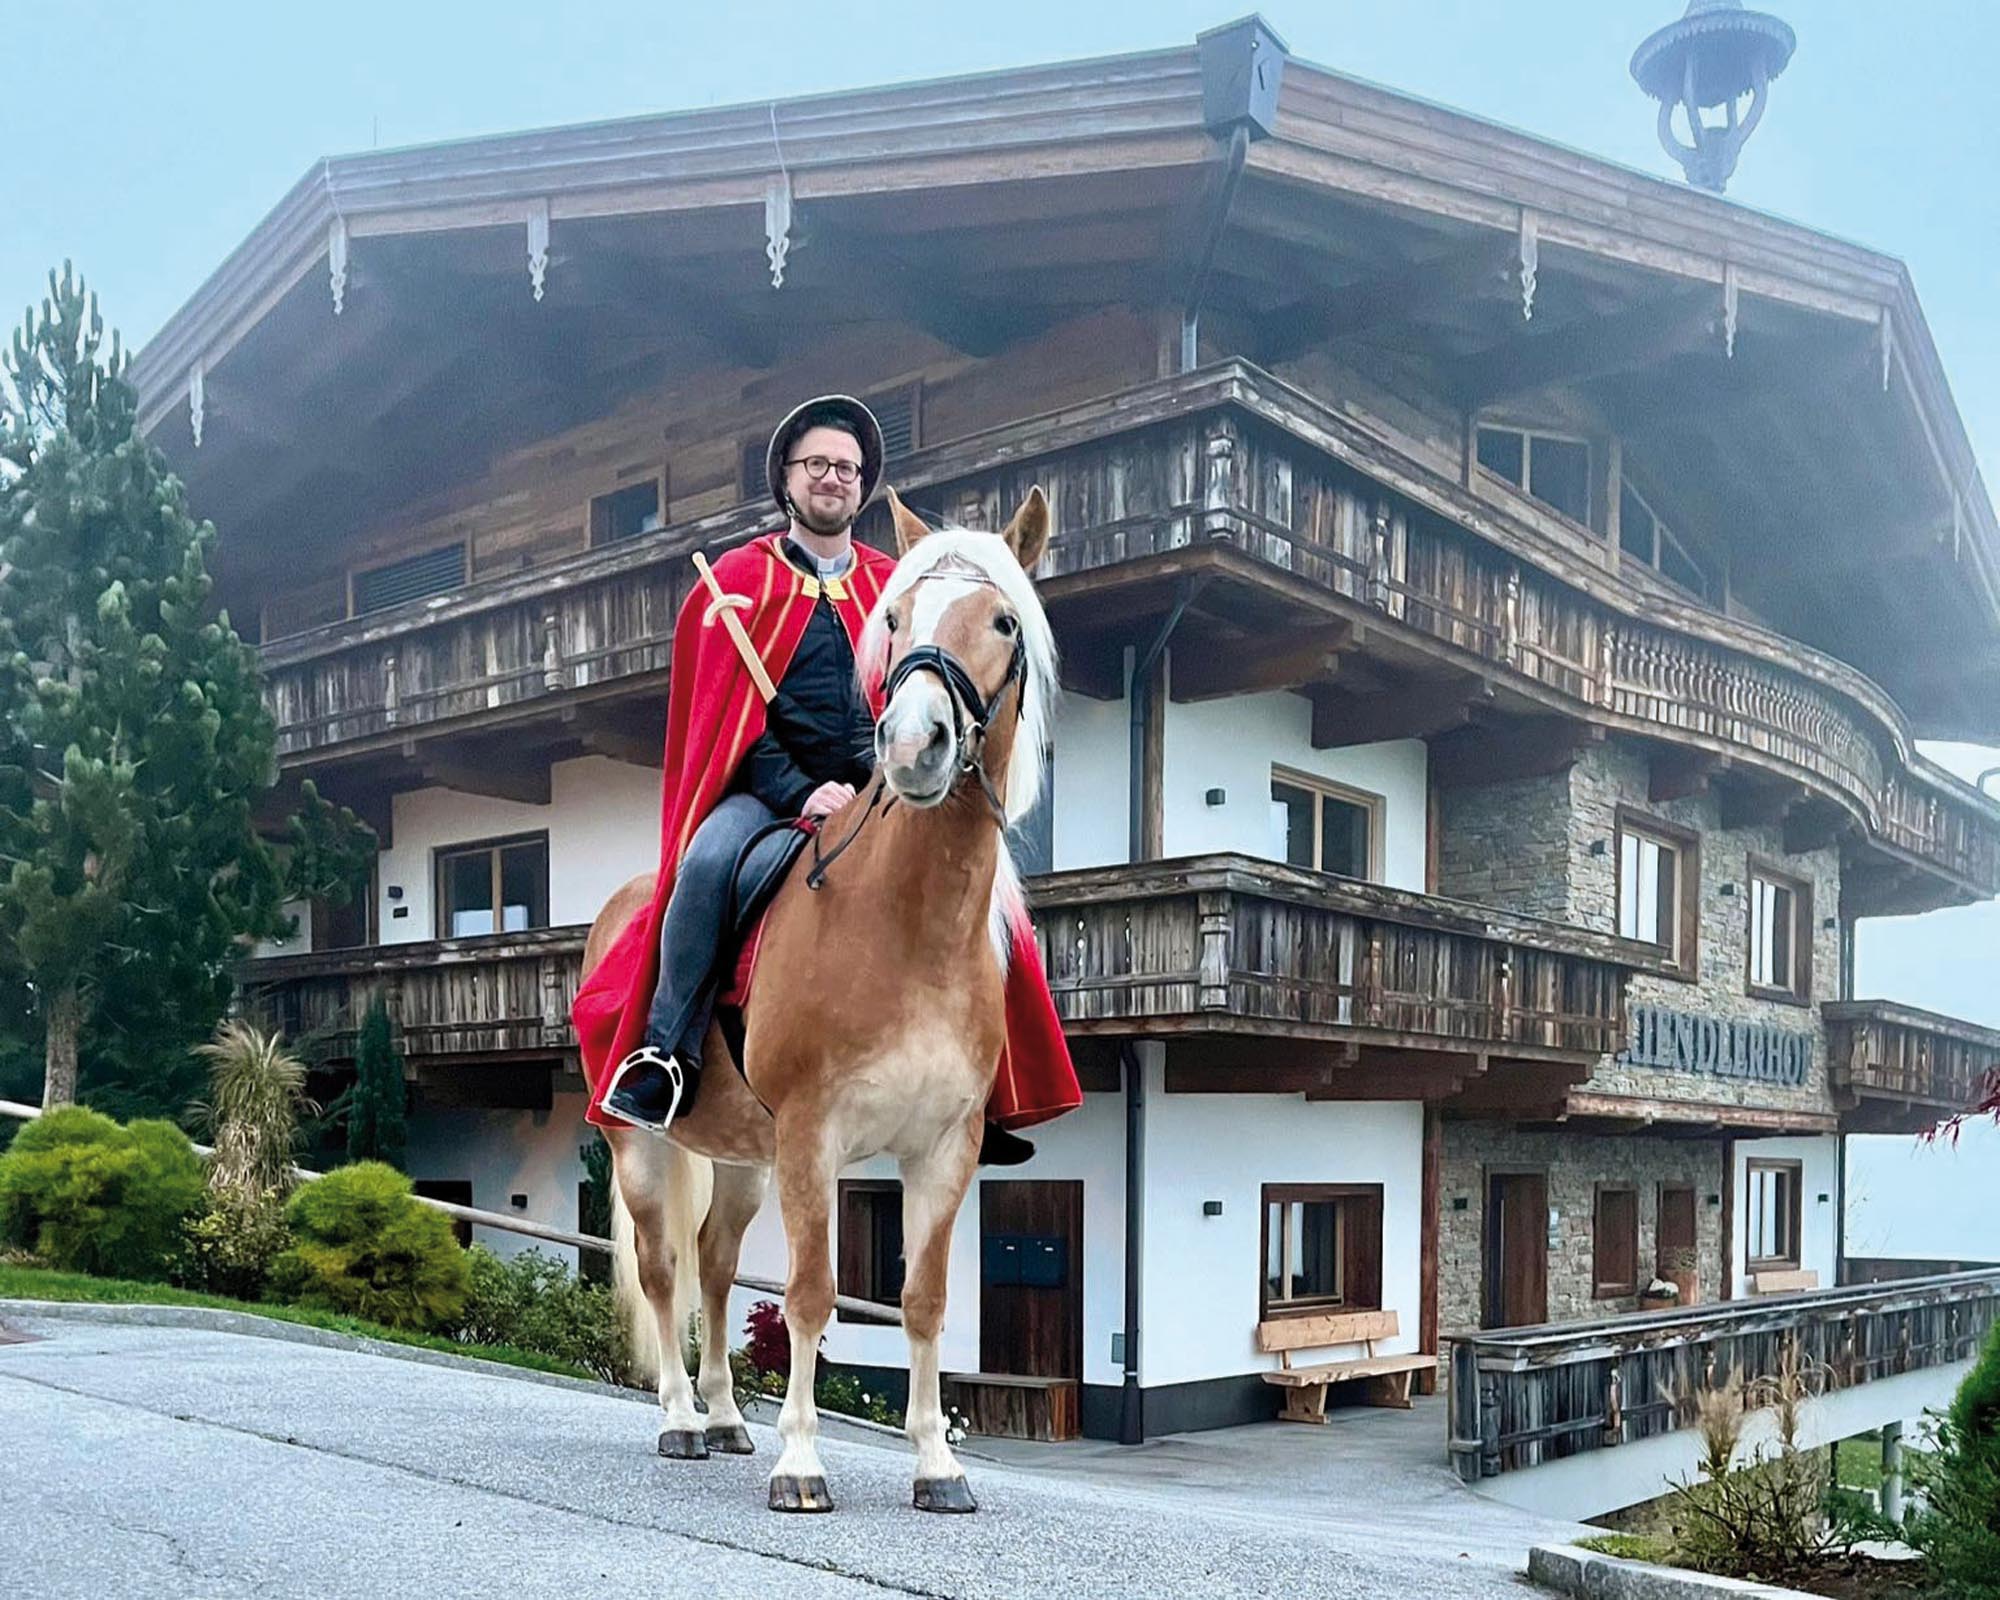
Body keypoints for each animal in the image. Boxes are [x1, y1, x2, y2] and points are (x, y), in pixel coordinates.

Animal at [581, 486, 1057, 1514]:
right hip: (642, 1146)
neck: (907, 927)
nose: (914, 745)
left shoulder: (942, 1150)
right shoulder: (814, 1135)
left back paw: (726, 1417)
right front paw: (801, 1463)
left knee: (718, 1269)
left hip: (744, 1158)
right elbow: (808, 1292)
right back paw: (681, 1420)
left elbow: (922, 1300)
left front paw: (937, 1467)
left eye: (1003, 620)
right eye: (896, 619)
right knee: (667, 1270)